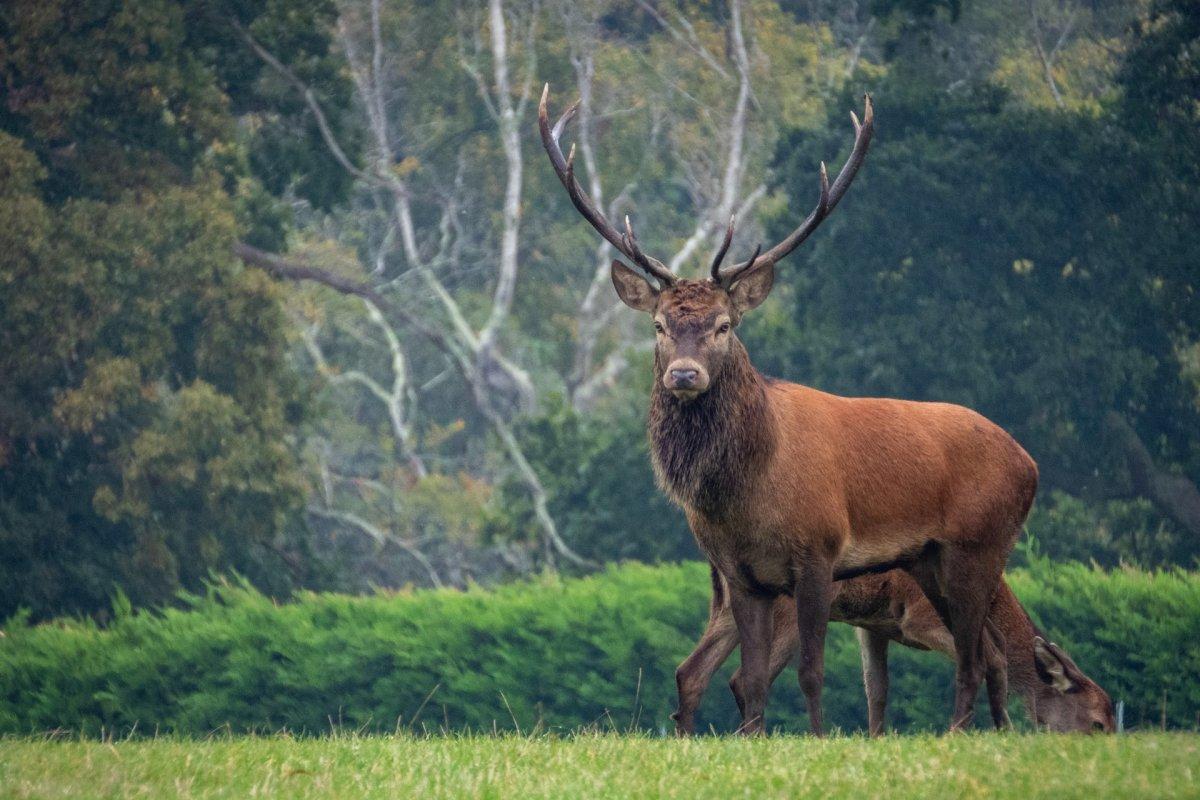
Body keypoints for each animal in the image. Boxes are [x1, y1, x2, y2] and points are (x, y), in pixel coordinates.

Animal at [540, 84, 1036, 734]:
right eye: (659, 325)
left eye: (724, 324)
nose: (684, 374)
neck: (747, 492)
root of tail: (1030, 464)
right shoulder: (741, 574)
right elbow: (750, 681)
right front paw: (752, 738)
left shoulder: (819, 552)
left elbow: (812, 672)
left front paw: (820, 739)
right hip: (931, 560)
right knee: (986, 651)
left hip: (981, 545)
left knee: (976, 656)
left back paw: (963, 734)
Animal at [676, 566, 1113, 734]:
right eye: (1097, 723)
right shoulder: (918, 617)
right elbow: (994, 654)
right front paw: (996, 731)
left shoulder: (872, 625)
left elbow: (877, 688)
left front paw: (876, 740)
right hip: (785, 607)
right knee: (744, 678)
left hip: (726, 607)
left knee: (691, 670)